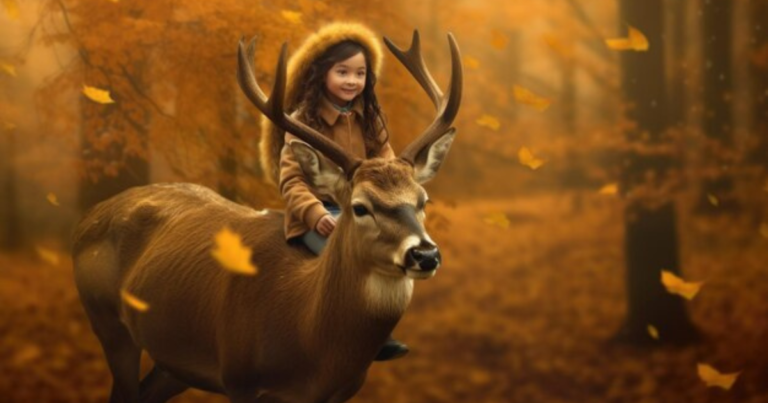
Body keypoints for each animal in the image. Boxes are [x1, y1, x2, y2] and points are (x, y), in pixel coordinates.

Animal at [71, 29, 462, 403]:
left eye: (423, 200)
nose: (425, 254)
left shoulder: (337, 392)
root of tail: (87, 219)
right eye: (360, 206)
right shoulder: (240, 377)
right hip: (107, 320)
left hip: (174, 362)